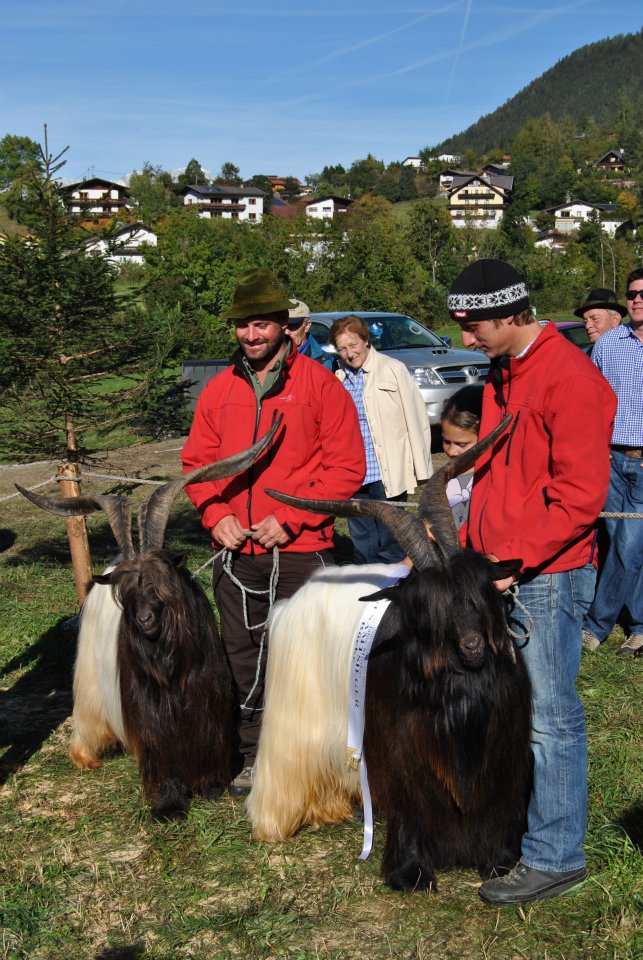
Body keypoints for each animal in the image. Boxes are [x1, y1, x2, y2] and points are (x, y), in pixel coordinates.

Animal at [17, 416, 282, 820]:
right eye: (128, 590)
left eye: (163, 581)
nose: (144, 620)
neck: (170, 668)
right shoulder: (147, 708)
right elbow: (158, 753)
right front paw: (169, 803)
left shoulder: (205, 704)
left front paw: (210, 787)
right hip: (91, 681)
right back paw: (86, 756)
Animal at [247, 420, 532, 892]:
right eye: (425, 606)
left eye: (480, 593)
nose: (473, 646)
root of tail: (289, 603)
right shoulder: (401, 749)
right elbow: (409, 803)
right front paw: (411, 871)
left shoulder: (497, 747)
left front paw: (497, 860)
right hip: (297, 712)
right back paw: (273, 824)